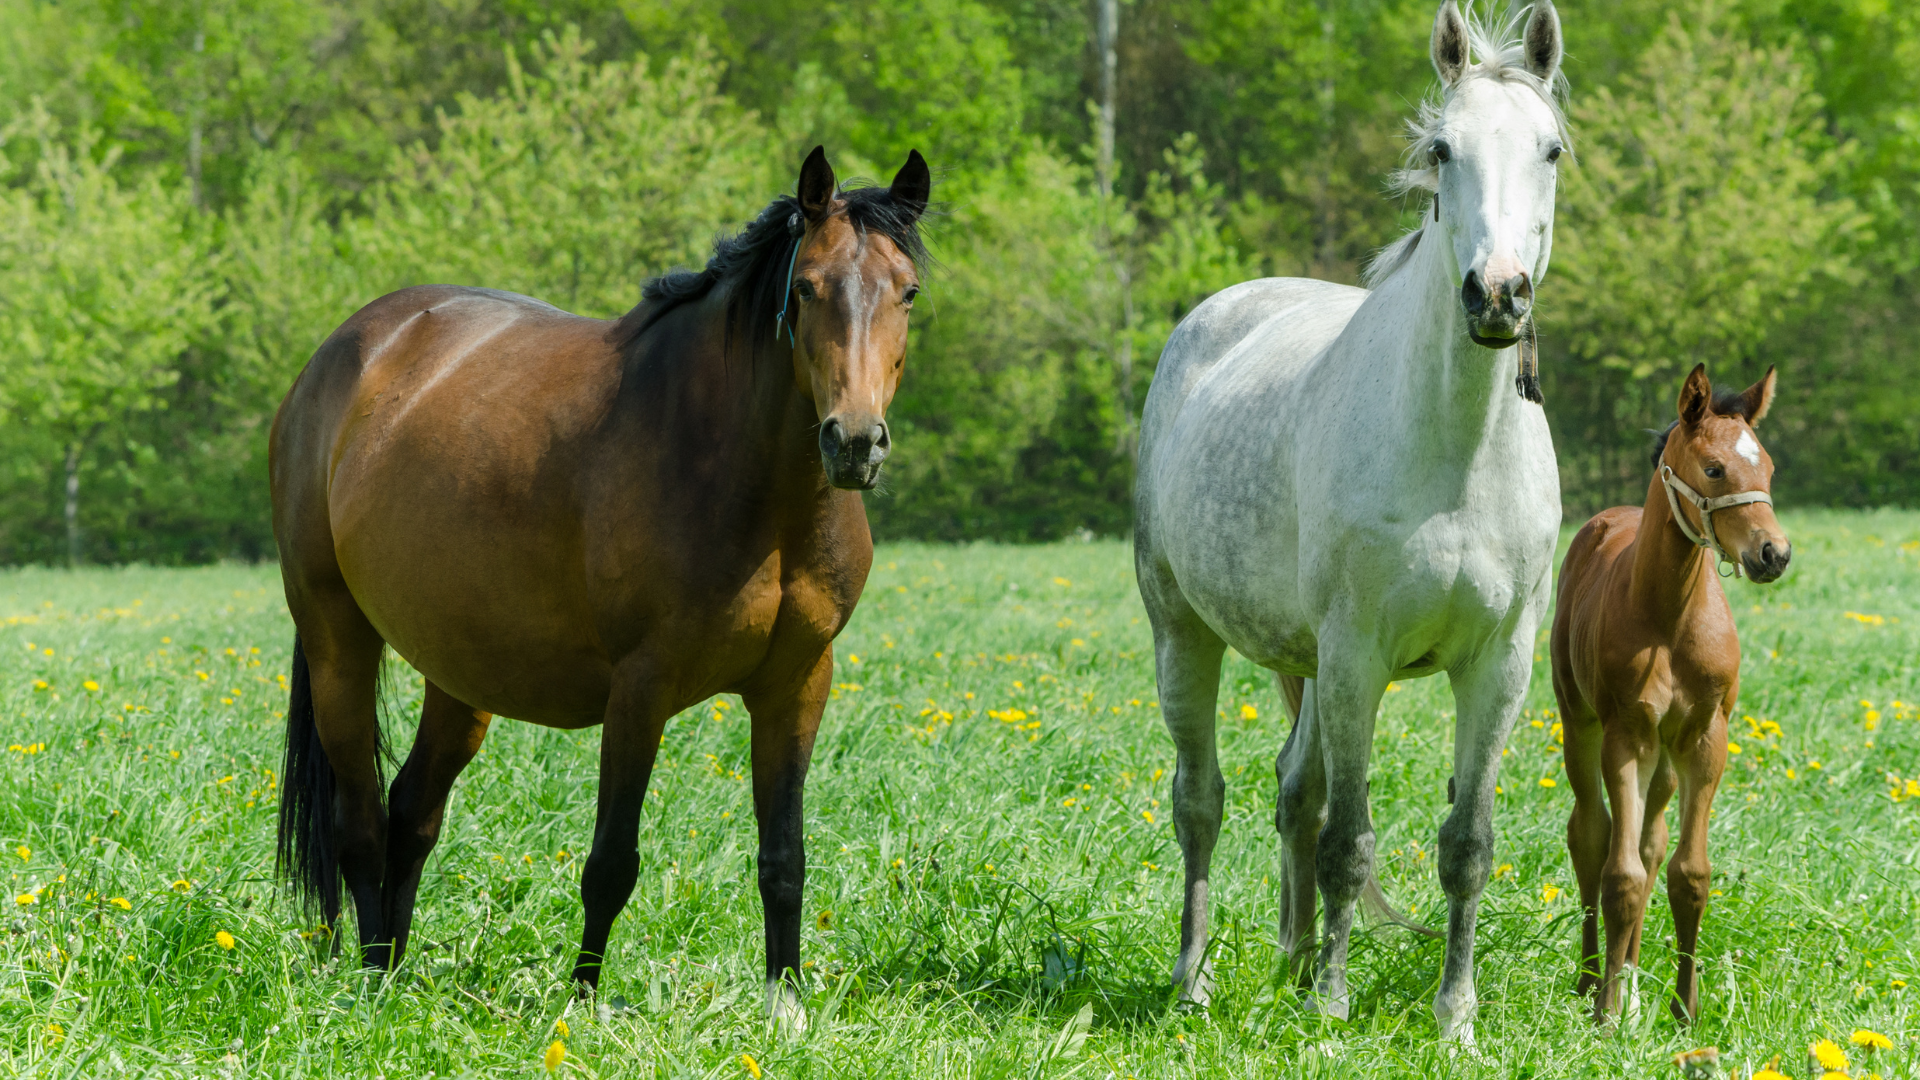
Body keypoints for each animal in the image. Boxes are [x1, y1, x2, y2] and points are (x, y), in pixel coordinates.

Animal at [269, 146, 930, 1030]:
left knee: (412, 812)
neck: (744, 478)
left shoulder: (797, 683)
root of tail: (340, 355)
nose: (854, 442)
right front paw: (581, 1003)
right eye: (806, 289)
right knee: (362, 825)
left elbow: (784, 854)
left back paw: (398, 970)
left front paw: (785, 1005)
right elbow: (613, 860)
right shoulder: (641, 689)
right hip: (338, 641)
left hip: (461, 674)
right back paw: (375, 980)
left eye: (907, 291)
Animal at [1132, 0, 1567, 1042]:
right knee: (1202, 801)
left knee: (1294, 788)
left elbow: (1466, 845)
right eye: (1443, 150)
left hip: (1307, 660)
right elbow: (1350, 841)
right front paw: (1332, 1007)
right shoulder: (1358, 653)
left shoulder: (1499, 664)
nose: (1498, 294)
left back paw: (1290, 964)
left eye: (1552, 150)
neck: (1455, 454)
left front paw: (1455, 1016)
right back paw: (1196, 980)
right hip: (1188, 635)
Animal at [1551, 364, 1789, 1024]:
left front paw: (1686, 1010)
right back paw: (1594, 980)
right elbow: (1621, 875)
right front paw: (1607, 1013)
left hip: (1664, 756)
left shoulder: (1705, 736)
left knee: (1651, 842)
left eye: (1768, 468)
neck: (1670, 615)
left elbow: (1688, 873)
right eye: (1714, 469)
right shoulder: (1626, 735)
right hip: (1580, 723)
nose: (1773, 554)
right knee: (1593, 836)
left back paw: (1632, 980)